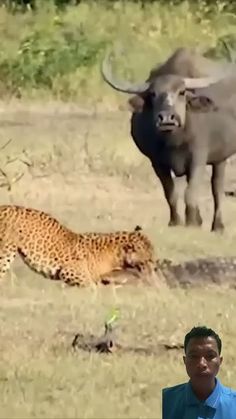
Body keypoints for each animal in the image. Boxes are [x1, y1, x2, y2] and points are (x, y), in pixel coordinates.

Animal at [0, 205, 156, 288]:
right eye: (148, 258)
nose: (154, 268)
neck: (116, 255)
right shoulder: (70, 272)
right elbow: (94, 285)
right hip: (6, 251)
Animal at [100, 49, 236, 235]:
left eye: (182, 92)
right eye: (153, 94)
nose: (166, 118)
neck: (175, 140)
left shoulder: (198, 158)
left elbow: (190, 193)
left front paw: (191, 223)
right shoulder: (157, 162)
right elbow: (170, 193)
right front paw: (176, 221)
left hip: (220, 158)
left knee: (217, 188)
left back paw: (217, 226)